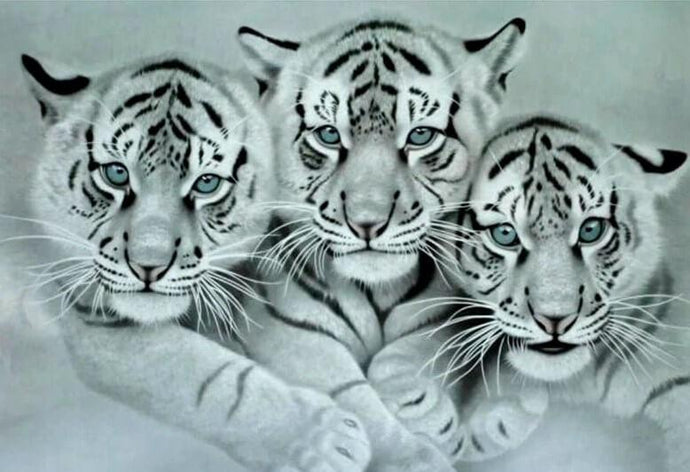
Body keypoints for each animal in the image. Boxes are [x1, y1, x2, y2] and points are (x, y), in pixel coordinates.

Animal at [20, 53, 372, 472]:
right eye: (116, 173)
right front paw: (327, 438)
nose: (149, 265)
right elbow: (211, 377)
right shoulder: (100, 320)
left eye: (207, 183)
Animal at [232, 15, 528, 471]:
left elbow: (418, 351)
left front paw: (425, 406)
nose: (367, 222)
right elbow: (355, 400)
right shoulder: (294, 334)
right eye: (328, 135)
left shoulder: (445, 315)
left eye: (421, 136)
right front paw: (417, 454)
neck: (377, 290)